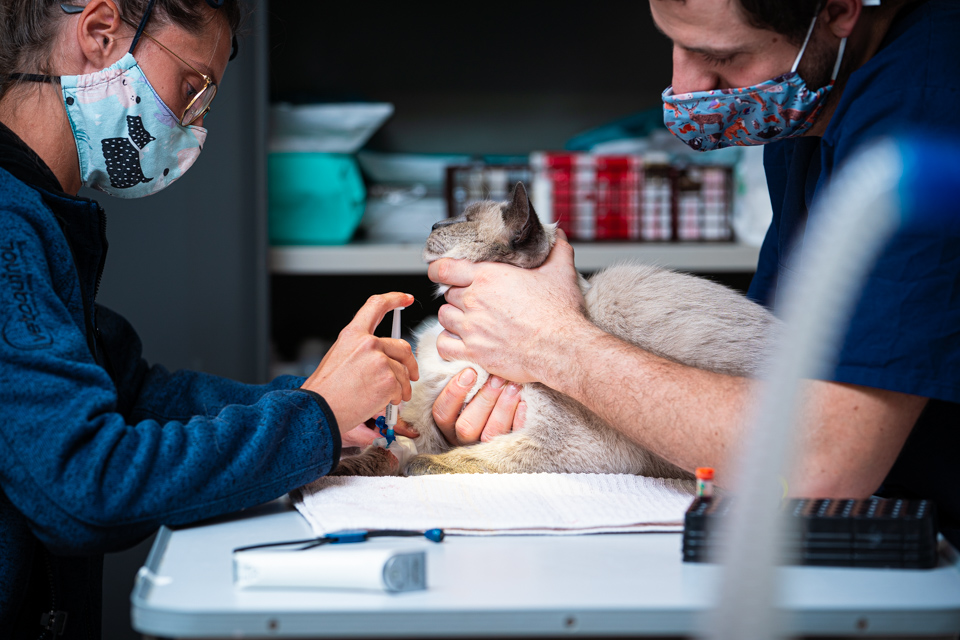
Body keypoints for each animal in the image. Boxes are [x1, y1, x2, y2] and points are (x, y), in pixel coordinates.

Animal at [332, 182, 780, 478]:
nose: (433, 223)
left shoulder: (565, 442)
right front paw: (352, 463)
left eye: (465, 220)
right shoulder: (422, 410)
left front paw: (413, 464)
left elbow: (465, 456)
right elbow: (385, 439)